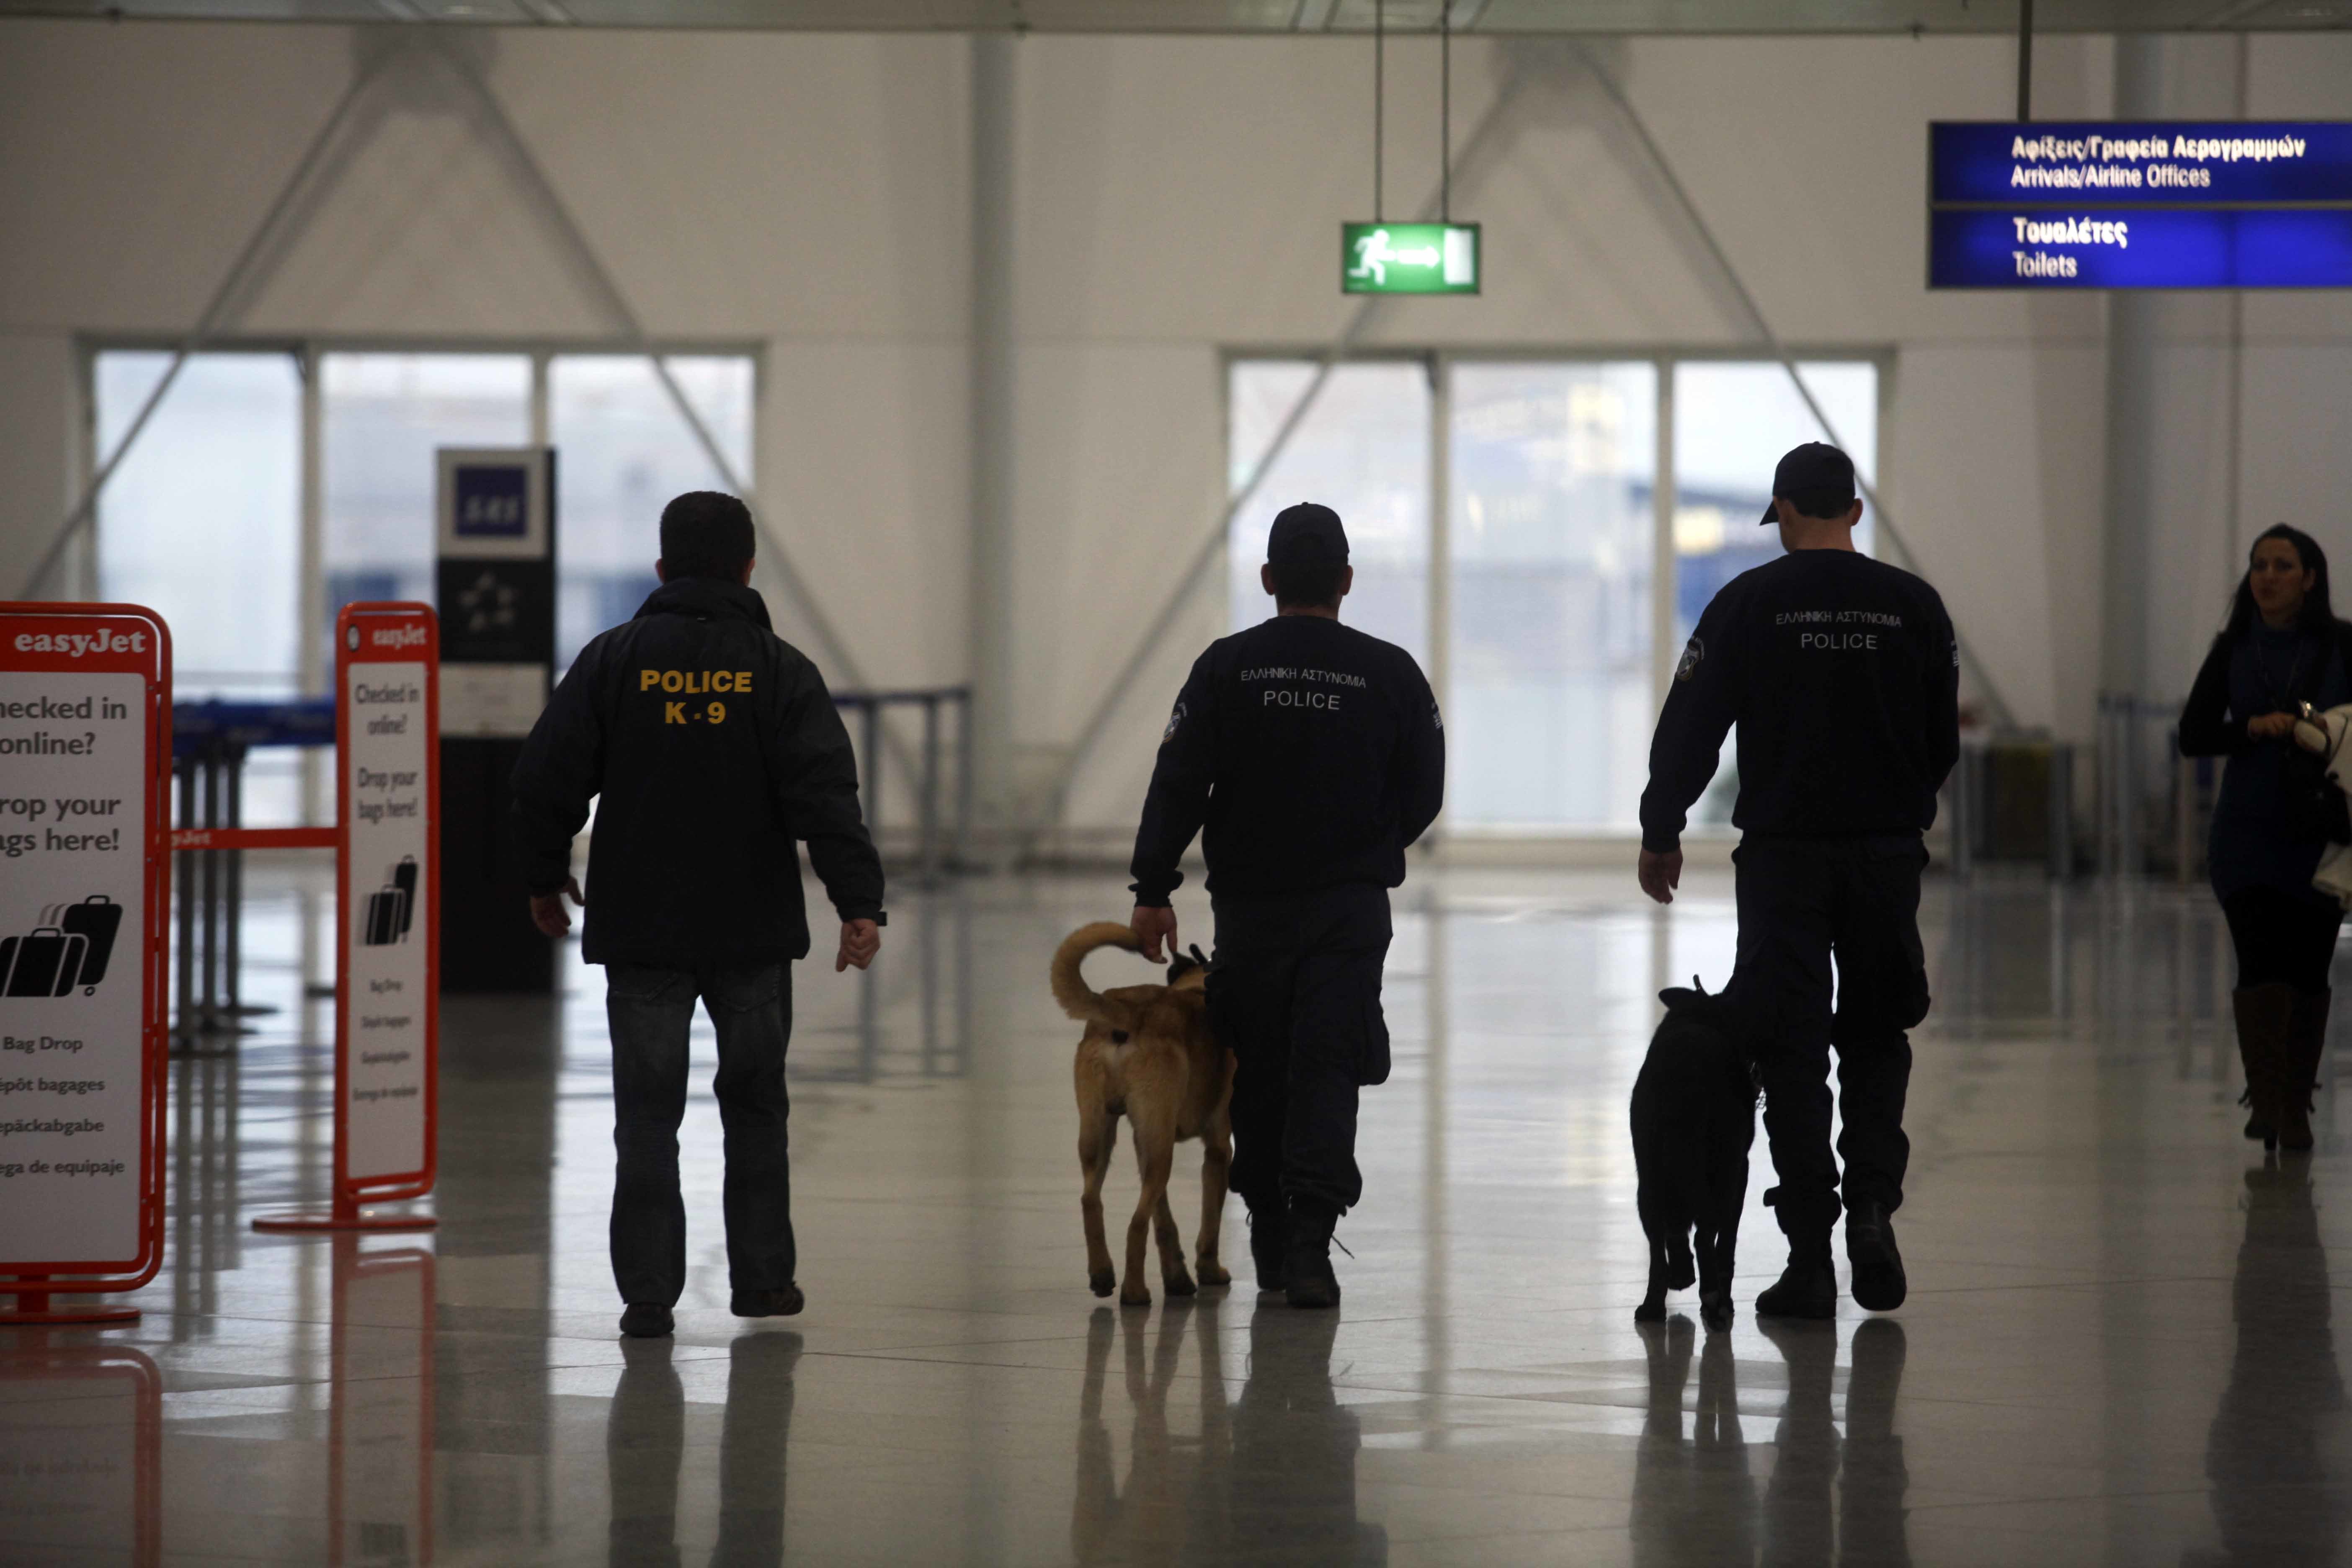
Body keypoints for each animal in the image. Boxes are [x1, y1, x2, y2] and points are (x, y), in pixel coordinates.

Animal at [1058, 926, 1242, 1307]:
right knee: (1136, 1223)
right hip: (1159, 1150)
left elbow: (1165, 1220)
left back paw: (1103, 1274)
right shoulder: (1219, 1151)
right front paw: (1209, 1272)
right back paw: (1134, 1291)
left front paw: (1178, 1278)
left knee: (1091, 1200)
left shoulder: (1144, 1140)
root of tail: (1126, 1014)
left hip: (1102, 1134)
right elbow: (1210, 1222)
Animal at [1637, 987, 1769, 1335]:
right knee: (1706, 1237)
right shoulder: (1741, 1171)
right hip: (1723, 1172)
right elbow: (1727, 1245)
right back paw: (1714, 1300)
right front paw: (1725, 1299)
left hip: (1649, 1178)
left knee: (1660, 1246)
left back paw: (1656, 1302)